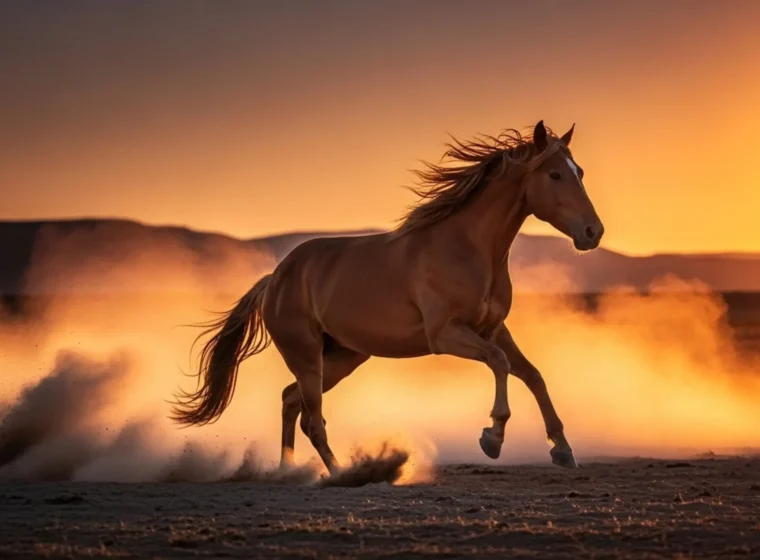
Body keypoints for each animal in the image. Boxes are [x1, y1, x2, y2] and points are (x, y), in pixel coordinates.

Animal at [170, 120, 604, 474]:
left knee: (291, 402)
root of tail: (274, 280)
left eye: (580, 172)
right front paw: (492, 438)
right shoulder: (446, 335)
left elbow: (533, 375)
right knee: (312, 419)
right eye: (554, 174)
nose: (593, 232)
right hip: (307, 357)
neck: (466, 247)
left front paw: (563, 450)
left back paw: (290, 472)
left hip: (341, 358)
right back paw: (341, 474)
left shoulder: (494, 329)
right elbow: (499, 364)